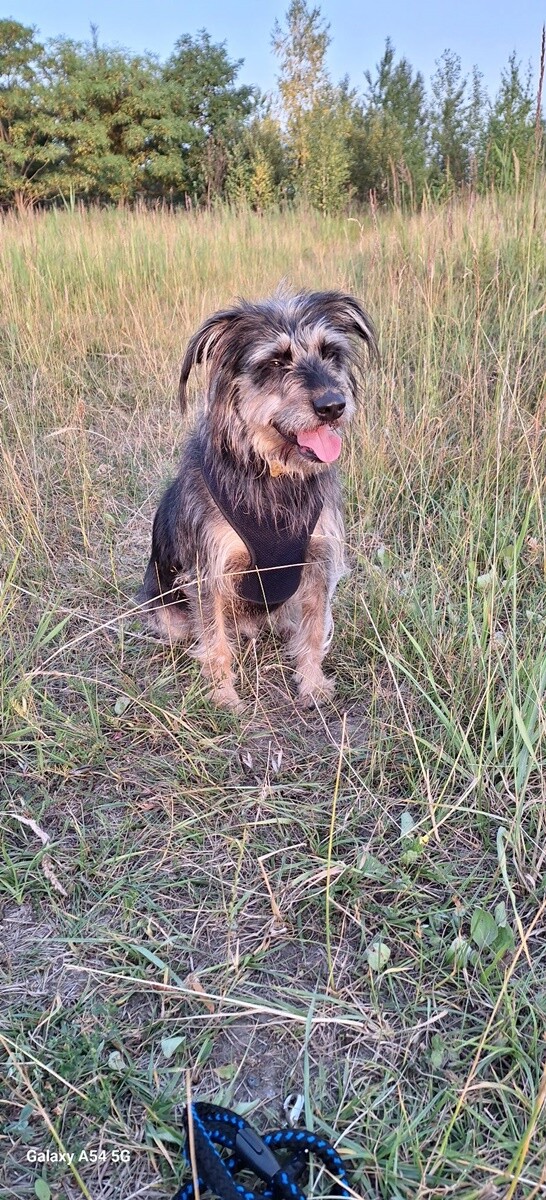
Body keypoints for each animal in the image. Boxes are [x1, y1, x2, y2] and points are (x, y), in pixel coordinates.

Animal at [139, 289, 377, 710]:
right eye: (276, 361)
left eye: (330, 352)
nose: (334, 405)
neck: (275, 473)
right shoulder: (209, 572)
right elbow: (215, 641)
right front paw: (223, 698)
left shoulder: (318, 561)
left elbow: (314, 630)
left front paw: (312, 685)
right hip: (167, 611)